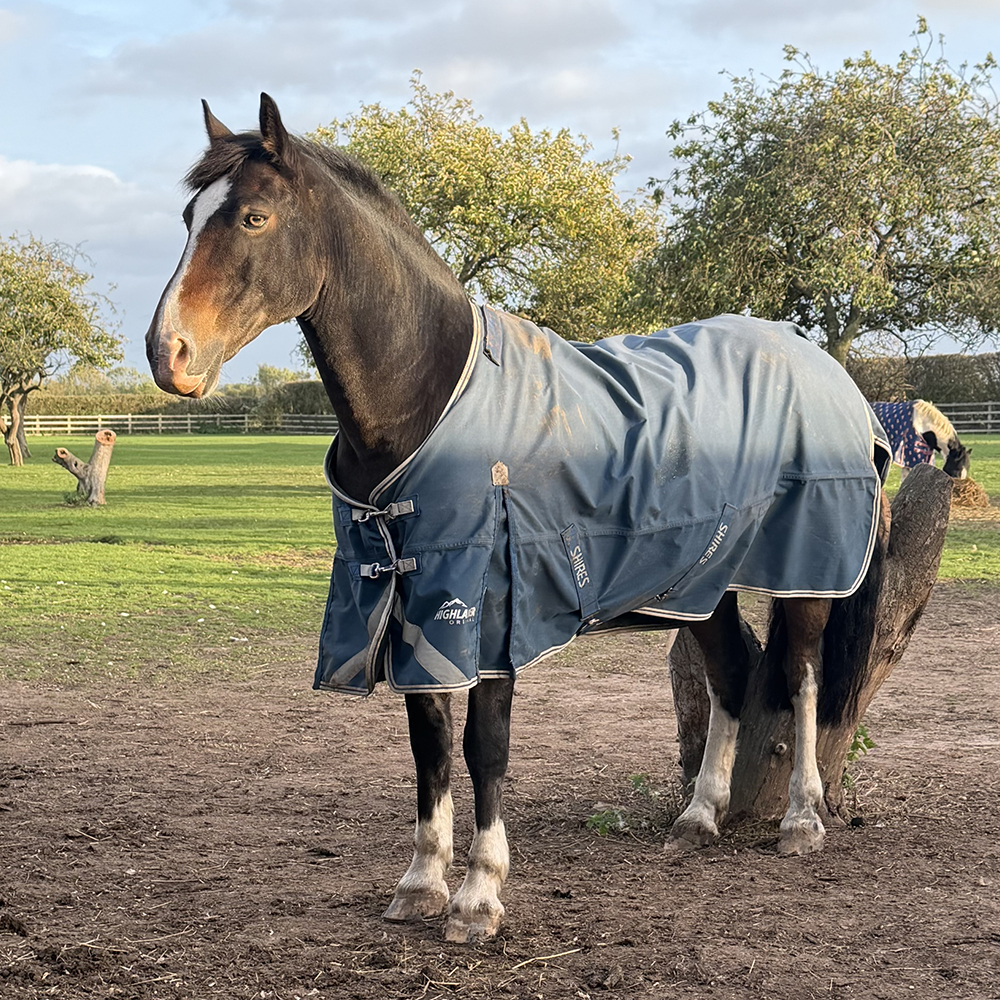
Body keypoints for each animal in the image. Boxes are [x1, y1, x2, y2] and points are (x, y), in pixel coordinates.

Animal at [146, 94, 891, 944]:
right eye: (188, 215)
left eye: (254, 217)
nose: (168, 354)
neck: (432, 399)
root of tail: (825, 367)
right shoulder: (416, 606)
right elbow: (430, 746)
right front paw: (420, 883)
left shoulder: (490, 612)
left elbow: (484, 748)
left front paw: (478, 896)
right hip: (703, 582)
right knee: (733, 673)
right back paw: (698, 817)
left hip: (805, 573)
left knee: (799, 678)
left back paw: (802, 820)